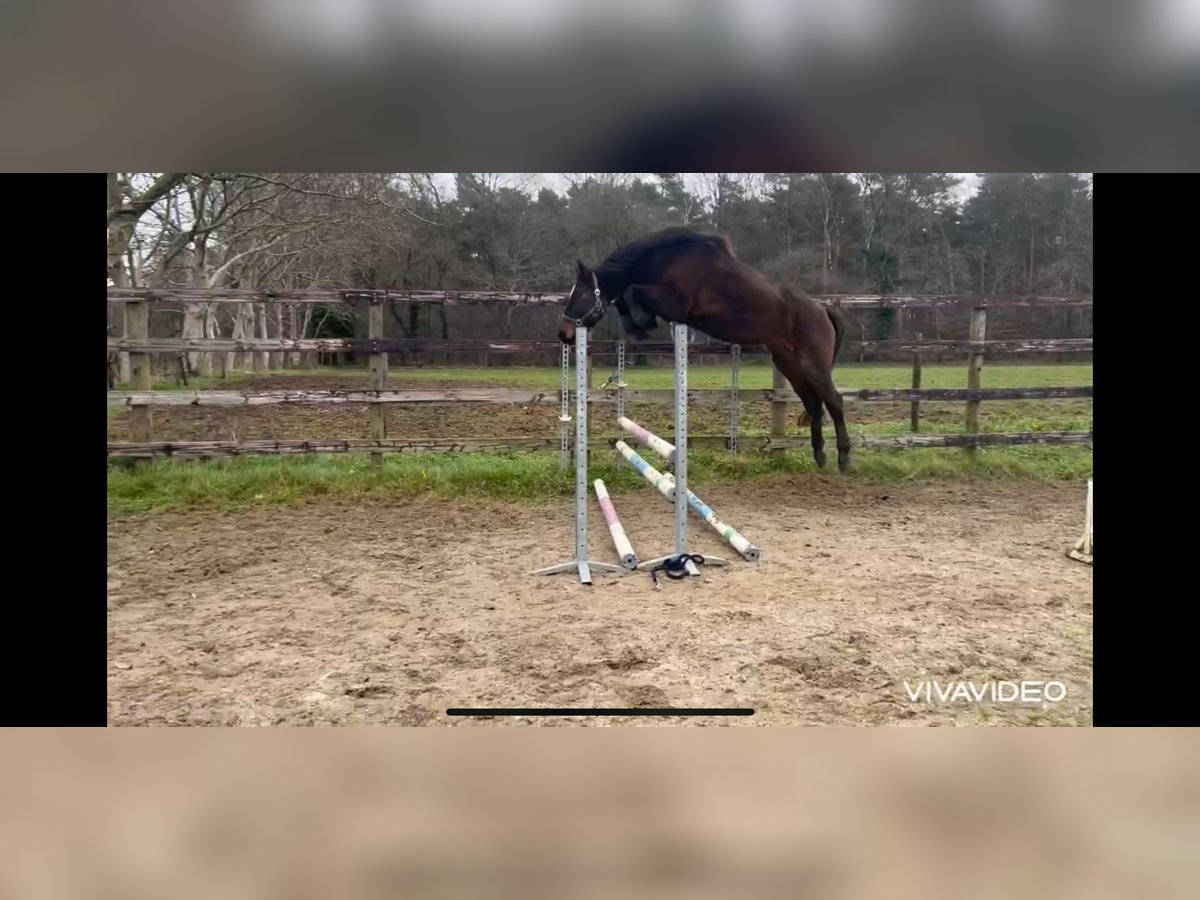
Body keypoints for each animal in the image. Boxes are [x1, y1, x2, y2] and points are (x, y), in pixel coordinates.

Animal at [556, 226, 849, 472]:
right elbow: (627, 296)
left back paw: (844, 459)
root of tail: (823, 310)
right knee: (813, 404)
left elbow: (632, 290)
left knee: (834, 401)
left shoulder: (677, 306)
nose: (564, 333)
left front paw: (642, 324)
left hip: (812, 365)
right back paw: (820, 455)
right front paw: (637, 323)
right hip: (790, 366)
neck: (670, 260)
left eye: (580, 294)